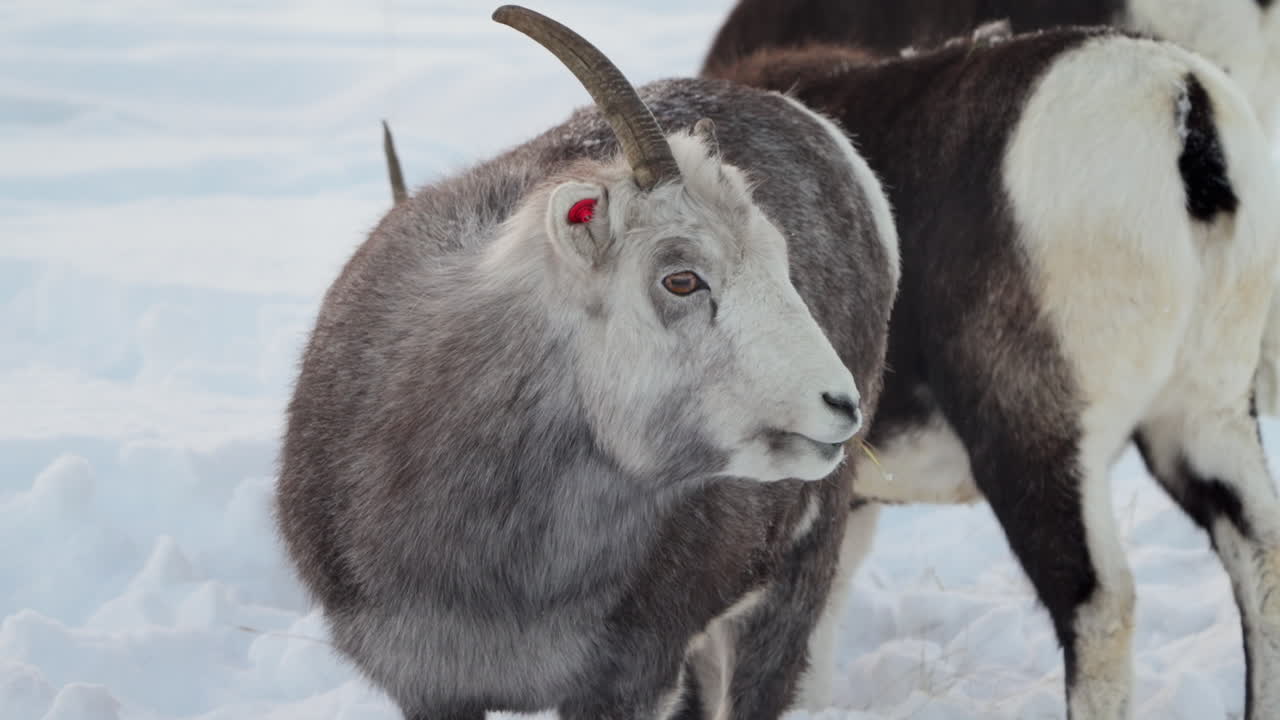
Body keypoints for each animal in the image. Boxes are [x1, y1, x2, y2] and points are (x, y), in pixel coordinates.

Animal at [275, 5, 900, 719]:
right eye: (681, 279)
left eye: (781, 260)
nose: (839, 405)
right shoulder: (429, 687)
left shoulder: (631, 680)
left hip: (795, 585)